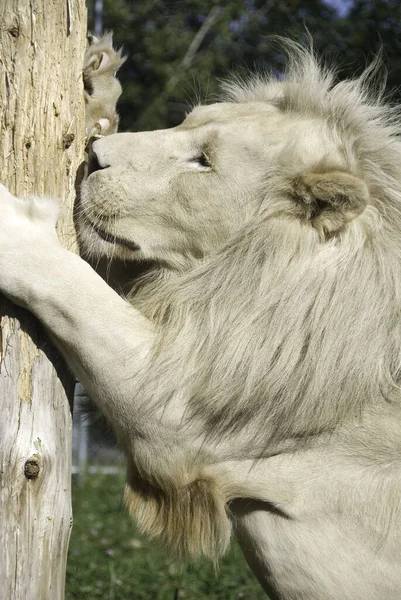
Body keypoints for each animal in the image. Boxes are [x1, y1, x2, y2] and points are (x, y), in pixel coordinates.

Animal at [0, 38, 400, 600]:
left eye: (204, 161)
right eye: (184, 123)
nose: (93, 159)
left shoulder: (179, 413)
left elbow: (73, 287)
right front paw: (97, 85)